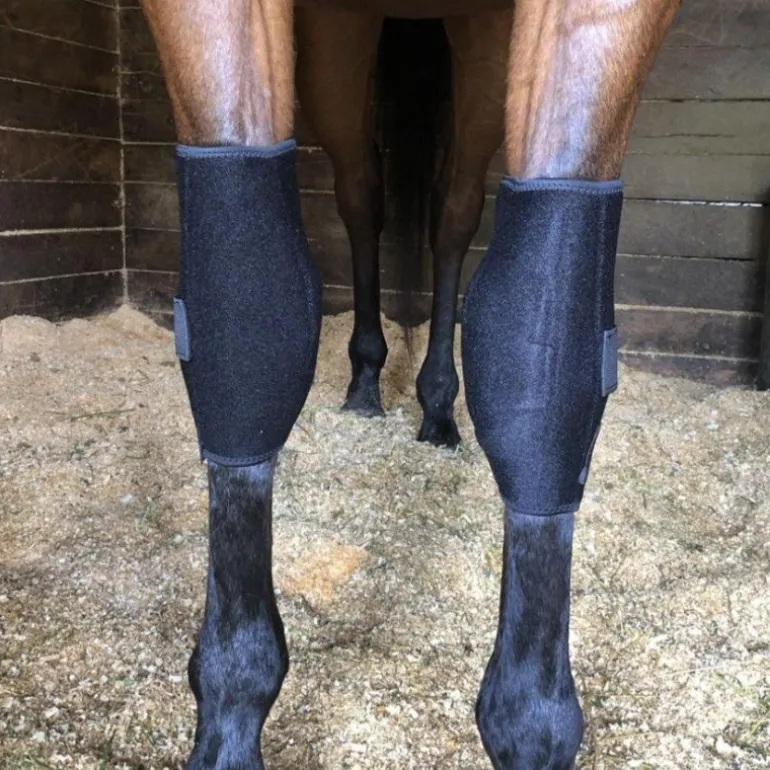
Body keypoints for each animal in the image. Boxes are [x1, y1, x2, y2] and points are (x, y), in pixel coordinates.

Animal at [139, 1, 681, 768]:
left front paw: (532, 723)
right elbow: (244, 360)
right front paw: (229, 720)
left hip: (482, 51)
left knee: (453, 214)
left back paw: (437, 406)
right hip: (338, 46)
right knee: (363, 196)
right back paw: (367, 378)